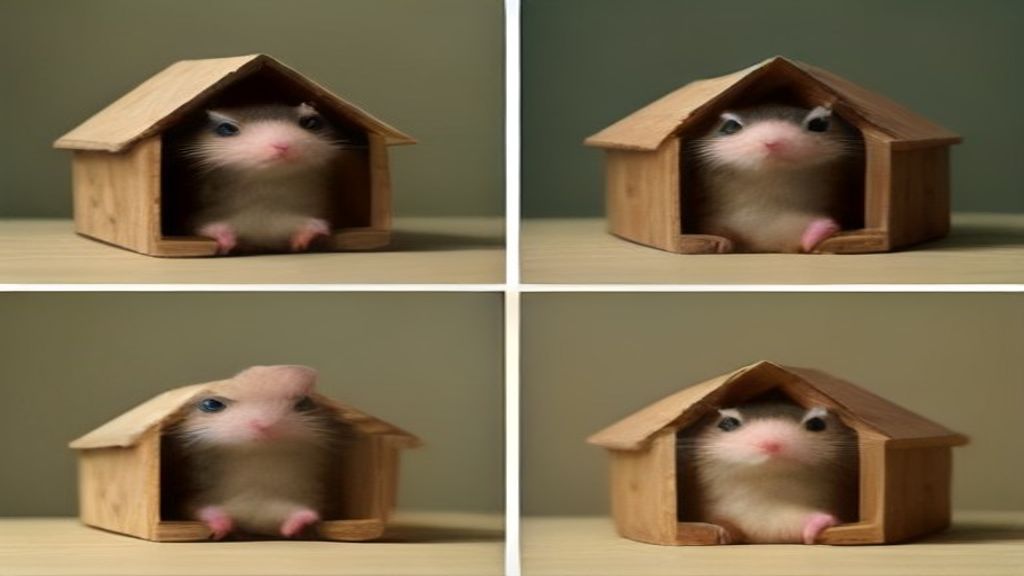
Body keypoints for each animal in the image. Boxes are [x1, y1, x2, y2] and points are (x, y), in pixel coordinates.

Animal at [170, 365, 334, 539]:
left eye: (304, 403)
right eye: (211, 404)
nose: (264, 425)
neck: (256, 457)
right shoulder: (193, 495)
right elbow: (199, 509)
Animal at [180, 103, 345, 255]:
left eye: (311, 122)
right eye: (226, 128)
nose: (282, 145)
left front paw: (310, 231)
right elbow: (203, 226)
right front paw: (223, 236)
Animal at [685, 401, 857, 544]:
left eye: (817, 423)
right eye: (727, 423)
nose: (772, 444)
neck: (767, 487)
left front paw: (823, 522)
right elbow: (723, 522)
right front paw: (721, 530)